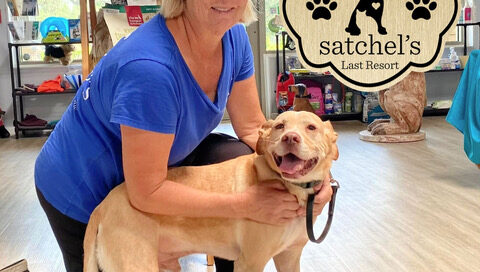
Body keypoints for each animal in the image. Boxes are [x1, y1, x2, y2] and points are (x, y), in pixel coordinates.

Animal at [83, 111, 338, 272]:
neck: (295, 189)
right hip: (137, 264)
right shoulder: (250, 262)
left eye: (311, 127)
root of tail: (103, 205)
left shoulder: (289, 257)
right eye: (280, 126)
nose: (290, 138)